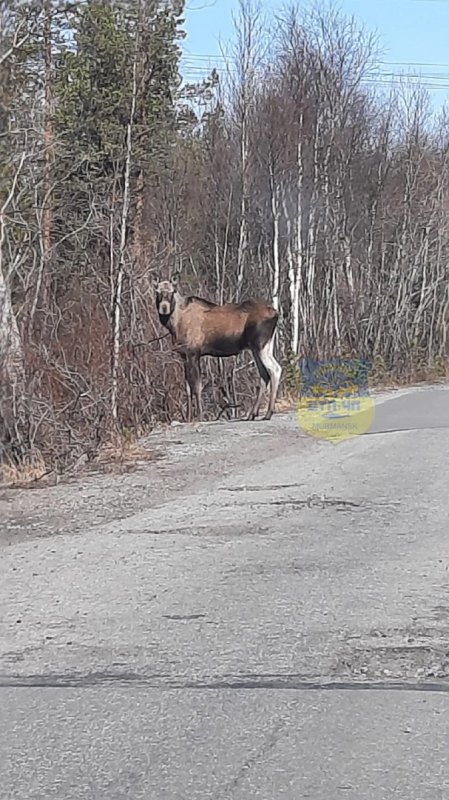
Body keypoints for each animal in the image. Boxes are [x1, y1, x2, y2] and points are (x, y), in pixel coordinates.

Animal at [154, 276, 280, 422]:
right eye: (157, 291)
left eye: (172, 291)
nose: (164, 308)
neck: (174, 324)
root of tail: (276, 314)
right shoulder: (184, 356)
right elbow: (188, 388)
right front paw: (188, 417)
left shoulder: (193, 353)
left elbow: (197, 386)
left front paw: (199, 416)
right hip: (259, 348)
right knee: (264, 374)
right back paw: (252, 414)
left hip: (260, 345)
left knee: (275, 369)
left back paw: (268, 412)